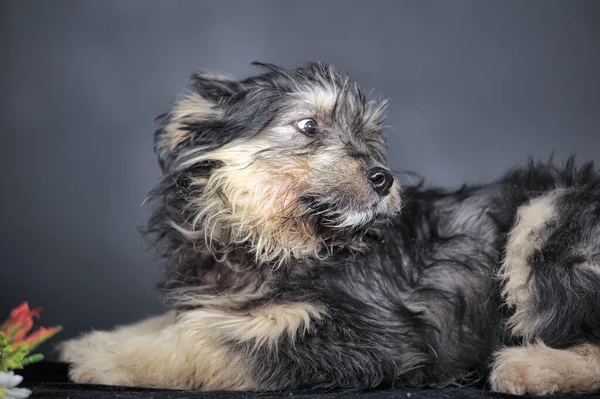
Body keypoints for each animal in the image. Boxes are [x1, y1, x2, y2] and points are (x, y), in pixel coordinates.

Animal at [58, 63, 600, 396]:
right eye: (308, 126)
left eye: (369, 137)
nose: (384, 178)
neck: (284, 244)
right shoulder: (227, 300)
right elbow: (185, 320)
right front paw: (100, 339)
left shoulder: (372, 339)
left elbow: (209, 341)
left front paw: (105, 358)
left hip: (545, 215)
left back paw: (530, 365)